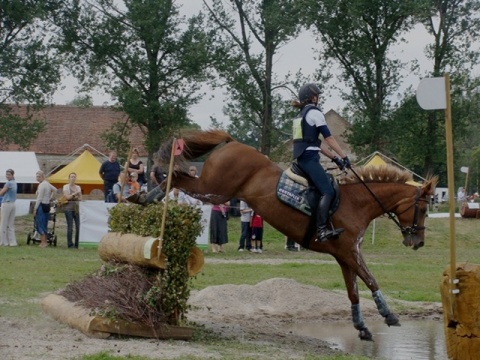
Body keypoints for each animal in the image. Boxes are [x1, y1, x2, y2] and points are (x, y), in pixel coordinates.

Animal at [156, 129, 436, 340]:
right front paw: (389, 315)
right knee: (179, 178)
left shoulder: (344, 256)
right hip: (215, 189)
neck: (357, 203)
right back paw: (150, 190)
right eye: (423, 209)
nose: (419, 241)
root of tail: (233, 142)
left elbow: (354, 291)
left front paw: (362, 327)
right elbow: (371, 280)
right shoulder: (349, 251)